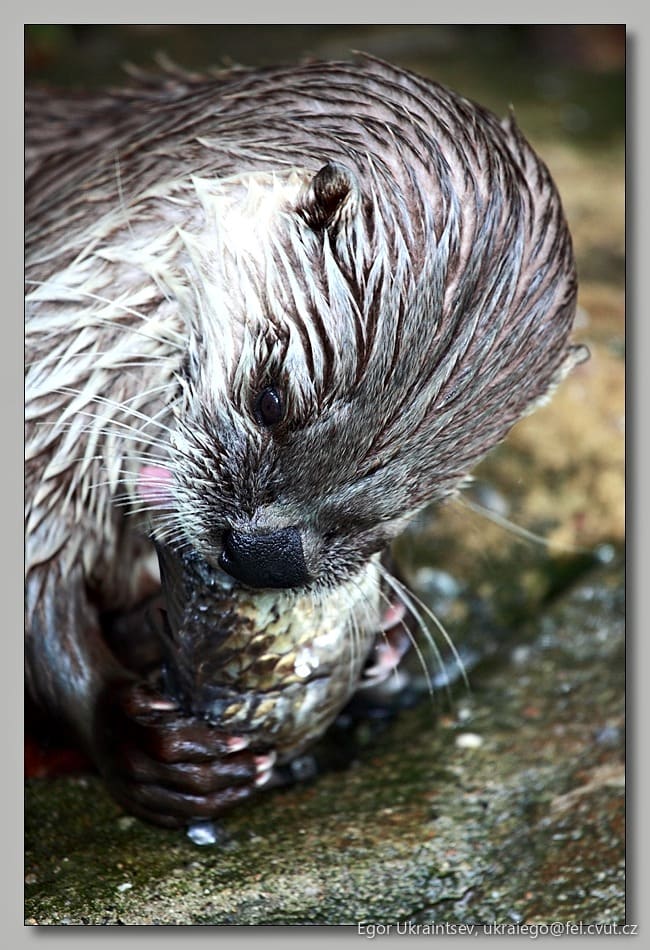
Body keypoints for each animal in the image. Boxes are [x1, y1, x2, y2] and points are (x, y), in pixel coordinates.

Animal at [25, 55, 584, 828]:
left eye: (423, 492)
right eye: (270, 398)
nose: (266, 558)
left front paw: (388, 637)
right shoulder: (47, 390)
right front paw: (136, 738)